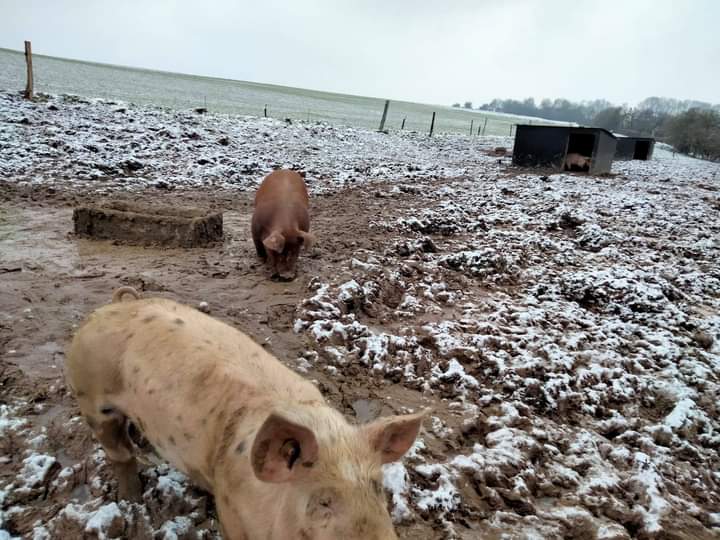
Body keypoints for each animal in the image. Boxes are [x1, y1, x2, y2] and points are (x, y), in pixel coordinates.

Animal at [66, 286, 428, 540]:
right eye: (322, 501)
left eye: (377, 488)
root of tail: (115, 305)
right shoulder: (230, 508)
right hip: (92, 399)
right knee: (118, 452)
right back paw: (131, 498)